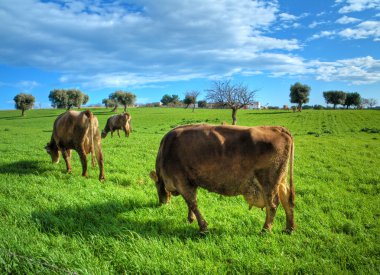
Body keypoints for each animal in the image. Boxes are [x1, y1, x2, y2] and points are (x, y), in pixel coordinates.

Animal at [150, 125, 296, 235]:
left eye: (156, 187)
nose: (161, 203)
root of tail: (277, 128)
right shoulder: (191, 181)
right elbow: (190, 203)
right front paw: (190, 219)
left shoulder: (181, 181)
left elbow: (192, 203)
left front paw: (203, 228)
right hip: (281, 180)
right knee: (287, 201)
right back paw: (289, 228)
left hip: (268, 181)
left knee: (272, 204)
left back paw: (265, 230)